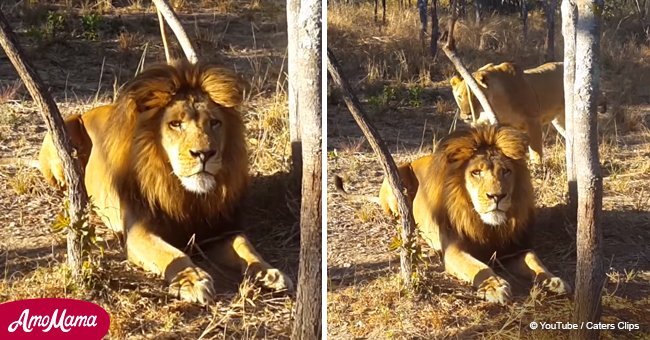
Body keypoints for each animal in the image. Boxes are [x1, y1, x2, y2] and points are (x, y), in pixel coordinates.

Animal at [39, 61, 292, 306]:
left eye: (214, 122)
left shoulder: (220, 229)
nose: (204, 154)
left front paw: (268, 273)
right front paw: (192, 281)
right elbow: (173, 255)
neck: (187, 195)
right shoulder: (138, 231)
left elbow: (245, 246)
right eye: (176, 124)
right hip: (64, 135)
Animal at [378, 124, 568, 302]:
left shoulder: (515, 248)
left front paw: (552, 281)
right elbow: (480, 268)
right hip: (397, 183)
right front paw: (495, 287)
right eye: (476, 172)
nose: (497, 196)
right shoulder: (453, 250)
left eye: (506, 171)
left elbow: (534, 260)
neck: (490, 227)